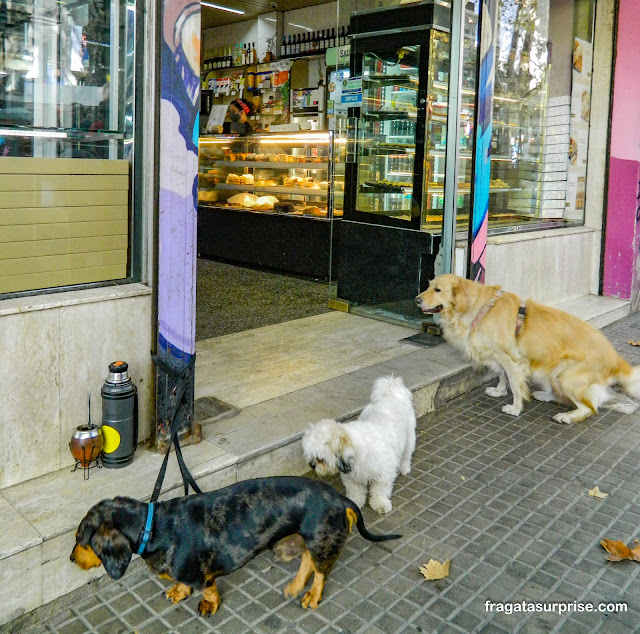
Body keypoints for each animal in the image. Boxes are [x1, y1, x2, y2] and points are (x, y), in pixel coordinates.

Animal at [302, 376, 418, 512]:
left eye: (320, 459)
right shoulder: (352, 478)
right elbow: (355, 491)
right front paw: (355, 501)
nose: (311, 465)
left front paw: (380, 503)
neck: (358, 452)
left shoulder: (383, 473)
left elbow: (380, 490)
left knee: (406, 455)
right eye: (310, 456)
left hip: (409, 439)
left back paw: (404, 468)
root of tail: (390, 394)